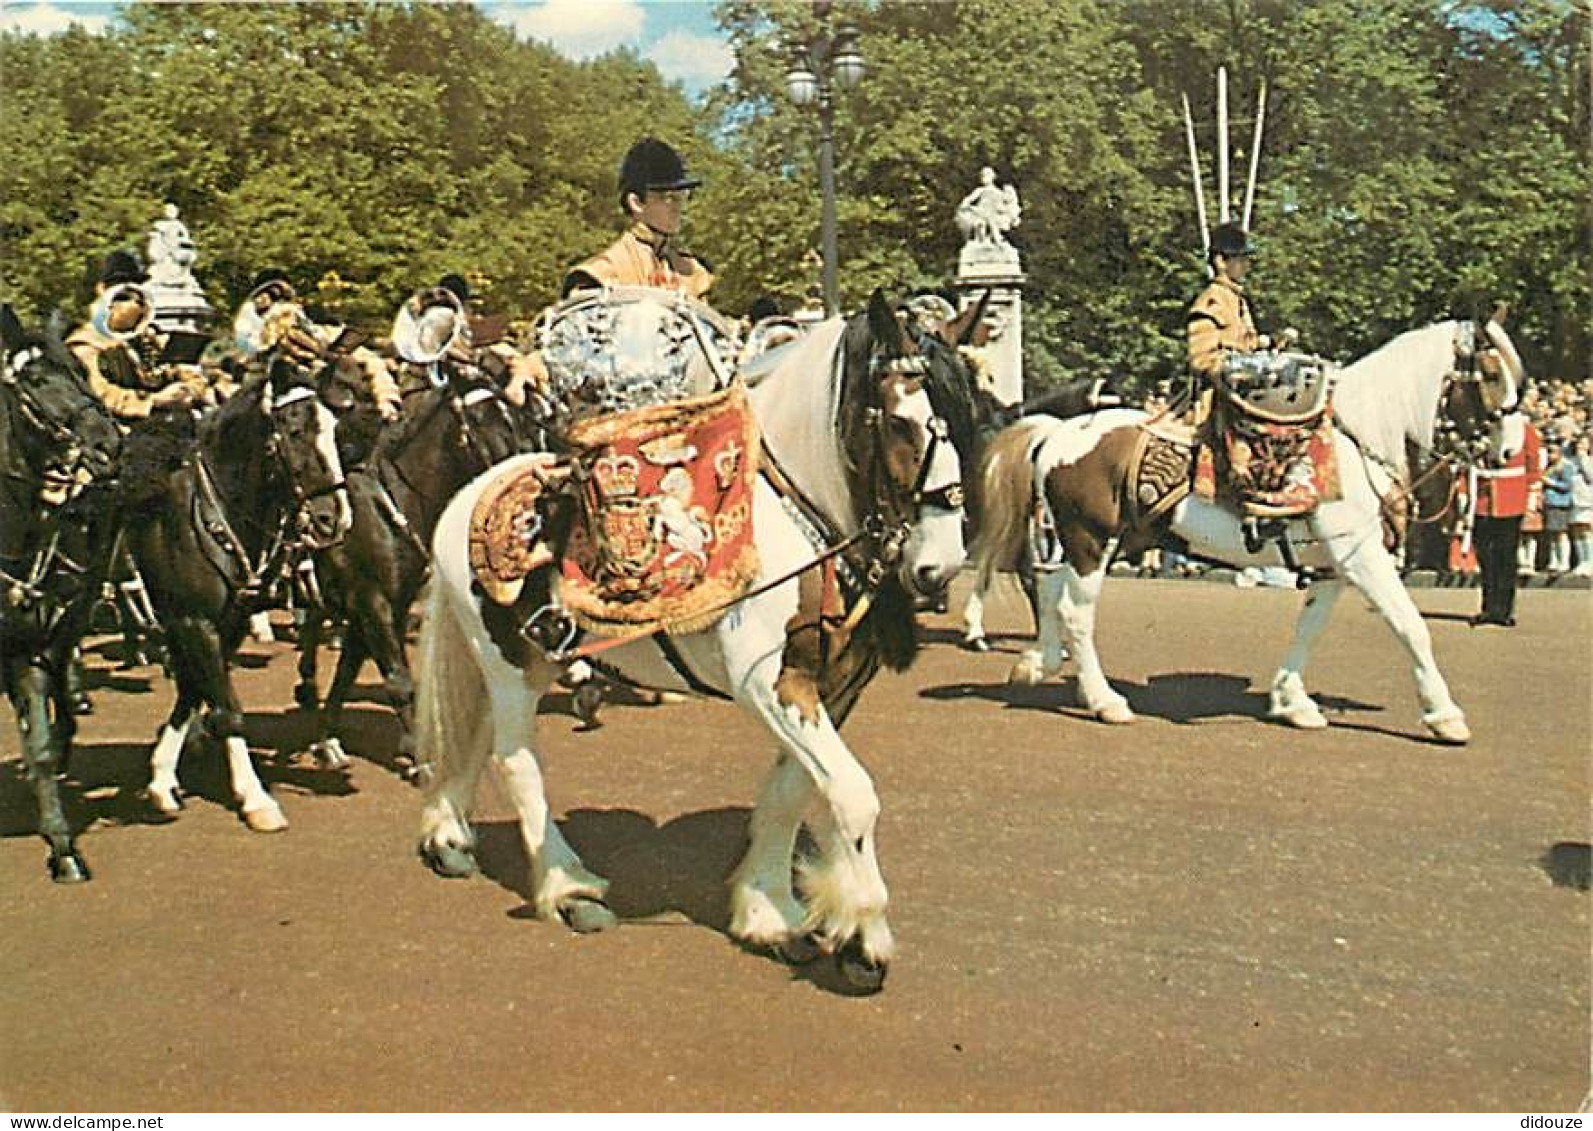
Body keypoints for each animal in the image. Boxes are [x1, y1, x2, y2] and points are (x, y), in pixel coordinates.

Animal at [124, 352, 352, 834]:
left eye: (334, 429)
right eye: (296, 431)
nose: (334, 519)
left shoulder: (225, 622)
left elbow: (196, 690)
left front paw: (162, 777)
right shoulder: (193, 620)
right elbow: (226, 706)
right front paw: (255, 798)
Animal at [293, 363, 522, 780]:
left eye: (512, 416)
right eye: (483, 419)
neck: (388, 508)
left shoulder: (386, 606)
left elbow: (349, 672)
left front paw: (328, 741)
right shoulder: (372, 603)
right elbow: (399, 681)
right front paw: (420, 758)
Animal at [410, 289, 974, 994]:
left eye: (968, 419)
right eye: (902, 422)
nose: (940, 568)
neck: (792, 526)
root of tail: (464, 498)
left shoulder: (831, 688)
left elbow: (791, 792)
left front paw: (770, 911)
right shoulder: (770, 684)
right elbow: (851, 795)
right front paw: (863, 937)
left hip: (528, 659)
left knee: (477, 731)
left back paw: (449, 836)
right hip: (508, 663)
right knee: (516, 761)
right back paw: (568, 888)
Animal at [974, 318, 1522, 745]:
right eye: (1492, 373)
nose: (1511, 451)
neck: (1354, 442)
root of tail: (1058, 430)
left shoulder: (1332, 564)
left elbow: (1309, 627)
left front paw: (1292, 701)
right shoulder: (1363, 556)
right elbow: (1411, 625)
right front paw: (1444, 715)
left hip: (1087, 541)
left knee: (1048, 592)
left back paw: (1038, 664)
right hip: (1092, 542)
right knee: (1074, 611)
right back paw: (1105, 700)